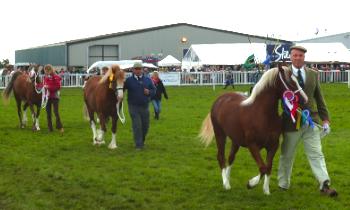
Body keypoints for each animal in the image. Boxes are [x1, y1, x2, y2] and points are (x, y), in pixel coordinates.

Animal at [200, 65, 308, 195]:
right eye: (290, 82)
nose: (305, 99)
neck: (263, 114)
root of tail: (220, 99)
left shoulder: (273, 145)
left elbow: (268, 167)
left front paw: (266, 191)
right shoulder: (252, 145)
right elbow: (262, 167)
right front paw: (251, 183)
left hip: (235, 140)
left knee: (231, 158)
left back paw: (228, 181)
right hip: (220, 134)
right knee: (221, 157)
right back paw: (226, 184)